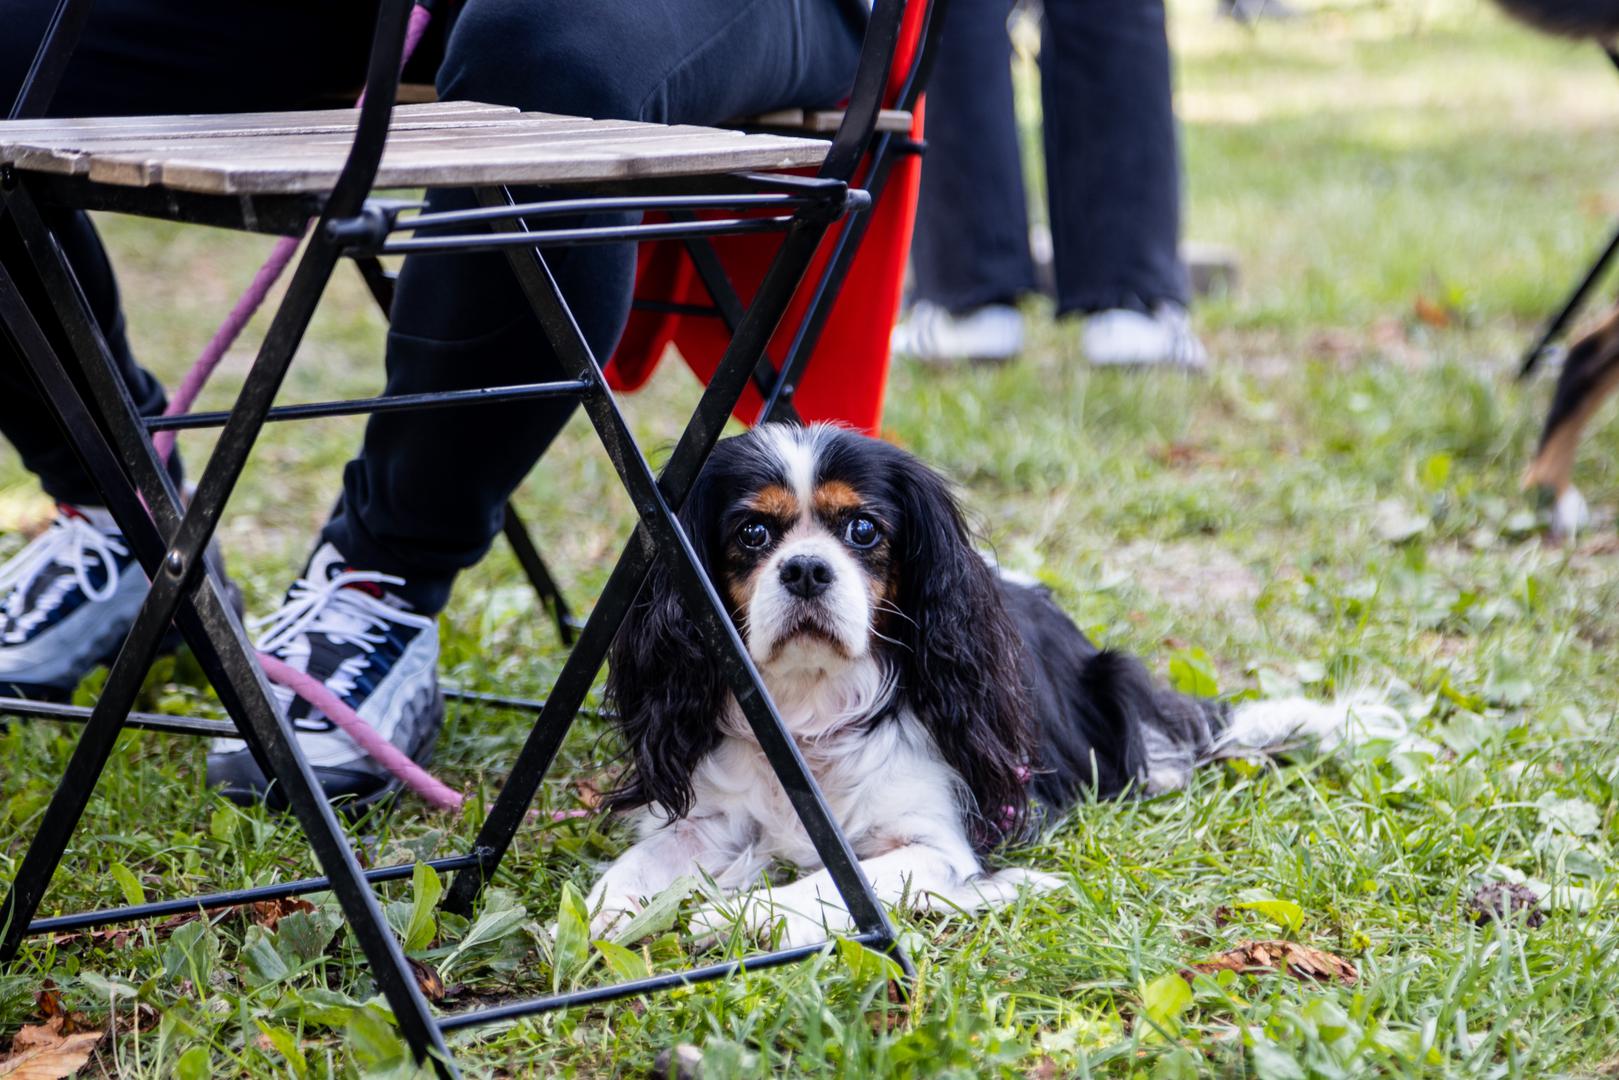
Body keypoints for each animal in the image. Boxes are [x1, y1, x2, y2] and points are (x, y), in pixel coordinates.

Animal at [586, 420, 1405, 945]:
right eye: (752, 534)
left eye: (863, 530)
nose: (807, 569)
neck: (812, 703)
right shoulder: (714, 819)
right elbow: (645, 860)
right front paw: (601, 911)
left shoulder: (934, 844)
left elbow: (836, 883)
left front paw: (737, 915)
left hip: (1112, 685)